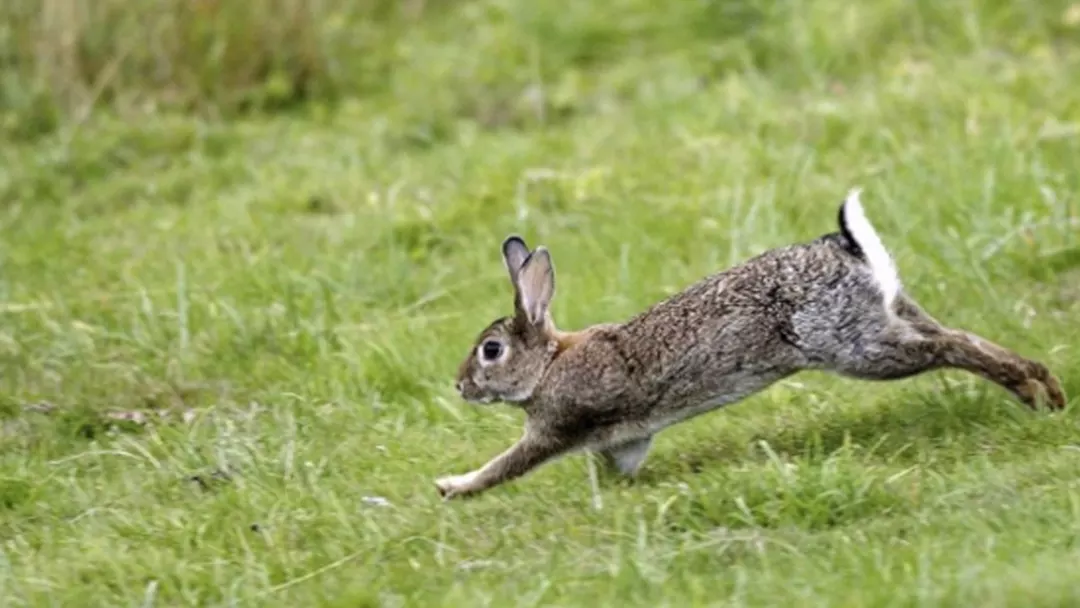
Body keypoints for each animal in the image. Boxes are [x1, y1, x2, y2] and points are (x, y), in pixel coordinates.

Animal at [434, 188, 1067, 498]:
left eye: (491, 350)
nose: (460, 385)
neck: (548, 364)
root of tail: (844, 248)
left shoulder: (554, 427)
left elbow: (507, 464)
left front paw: (453, 487)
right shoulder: (627, 438)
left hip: (856, 347)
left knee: (949, 348)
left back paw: (1031, 389)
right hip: (887, 317)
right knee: (954, 335)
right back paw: (1047, 389)